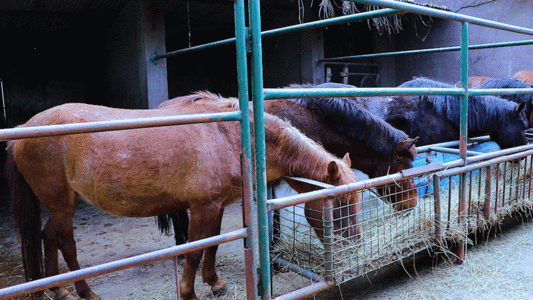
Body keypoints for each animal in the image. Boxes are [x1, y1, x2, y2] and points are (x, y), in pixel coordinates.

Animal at [6, 91, 362, 300]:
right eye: (339, 203)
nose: (356, 247)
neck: (234, 134)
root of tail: (24, 130)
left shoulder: (216, 206)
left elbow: (212, 246)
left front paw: (215, 283)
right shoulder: (202, 208)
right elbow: (193, 251)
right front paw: (189, 292)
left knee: (49, 238)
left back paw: (59, 289)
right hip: (62, 204)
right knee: (63, 241)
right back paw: (84, 292)